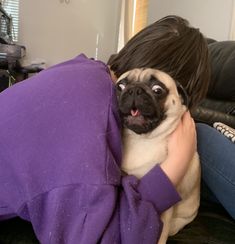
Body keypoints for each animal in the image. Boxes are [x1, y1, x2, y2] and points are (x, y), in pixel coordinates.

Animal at [115, 67, 200, 243]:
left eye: (157, 90)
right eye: (120, 87)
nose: (134, 90)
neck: (140, 140)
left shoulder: (165, 211)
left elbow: (161, 234)